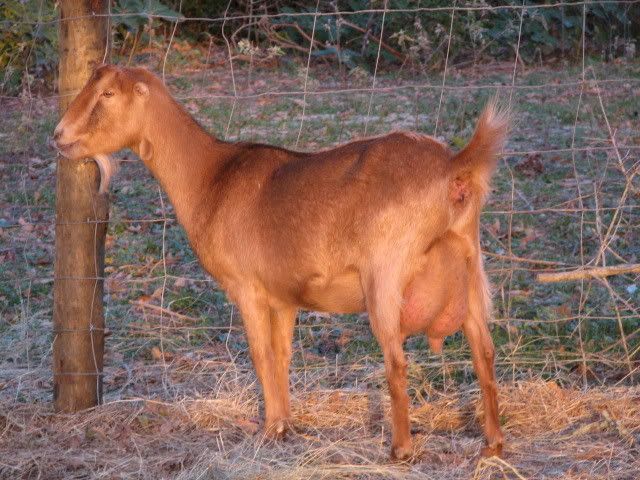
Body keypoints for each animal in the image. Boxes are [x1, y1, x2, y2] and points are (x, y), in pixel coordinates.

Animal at [54, 64, 508, 459]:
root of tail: (454, 167)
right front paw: (285, 425)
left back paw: (401, 449)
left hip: (385, 273)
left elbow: (260, 354)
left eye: (107, 94)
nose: (59, 135)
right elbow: (282, 354)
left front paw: (269, 430)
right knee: (483, 350)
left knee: (396, 359)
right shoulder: (285, 298)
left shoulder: (246, 288)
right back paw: (493, 444)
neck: (210, 177)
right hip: (471, 265)